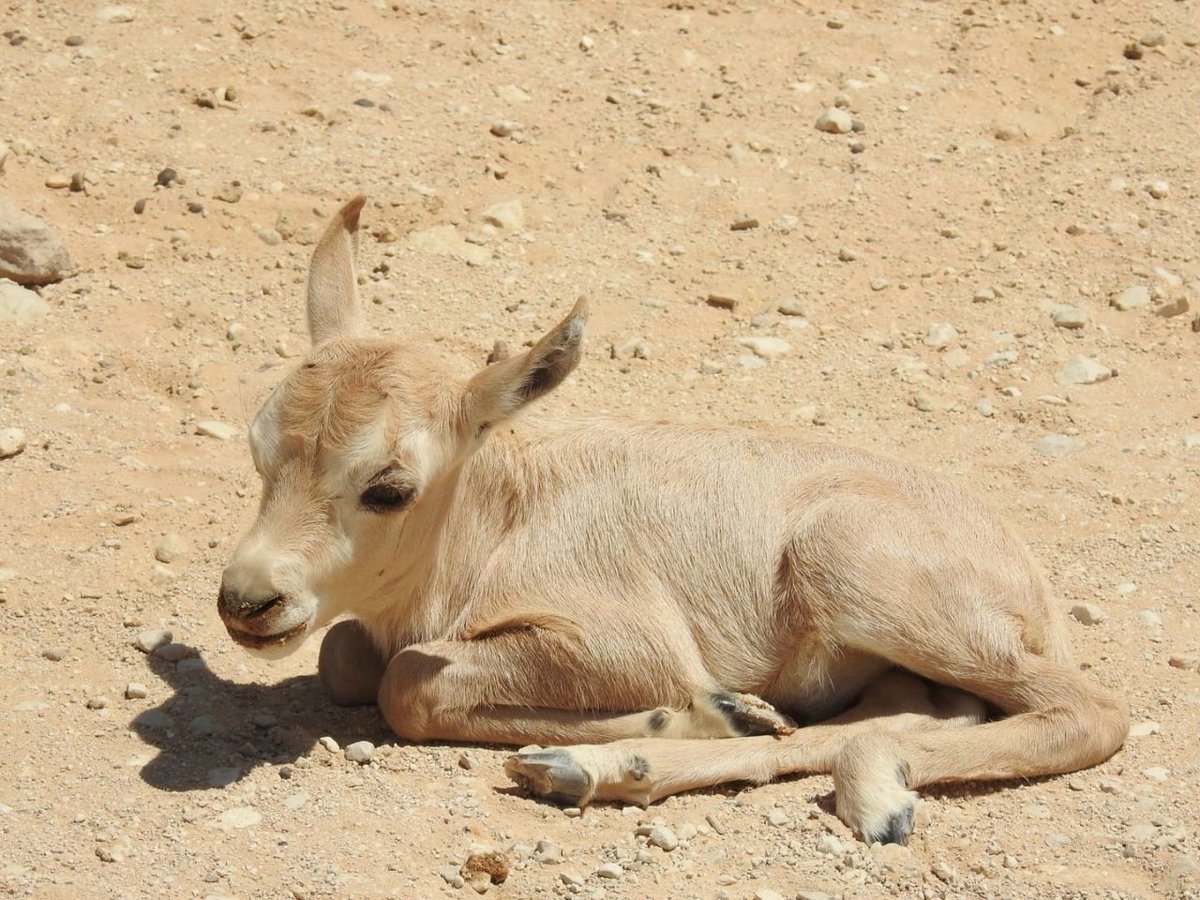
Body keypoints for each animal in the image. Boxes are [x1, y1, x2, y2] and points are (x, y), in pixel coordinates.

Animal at [220, 195, 1128, 844]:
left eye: (388, 487)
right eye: (259, 449)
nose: (247, 601)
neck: (498, 522)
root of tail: (1034, 586)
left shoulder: (628, 642)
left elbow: (405, 682)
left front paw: (700, 707)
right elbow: (344, 657)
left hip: (862, 574)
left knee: (1087, 710)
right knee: (925, 710)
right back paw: (607, 763)